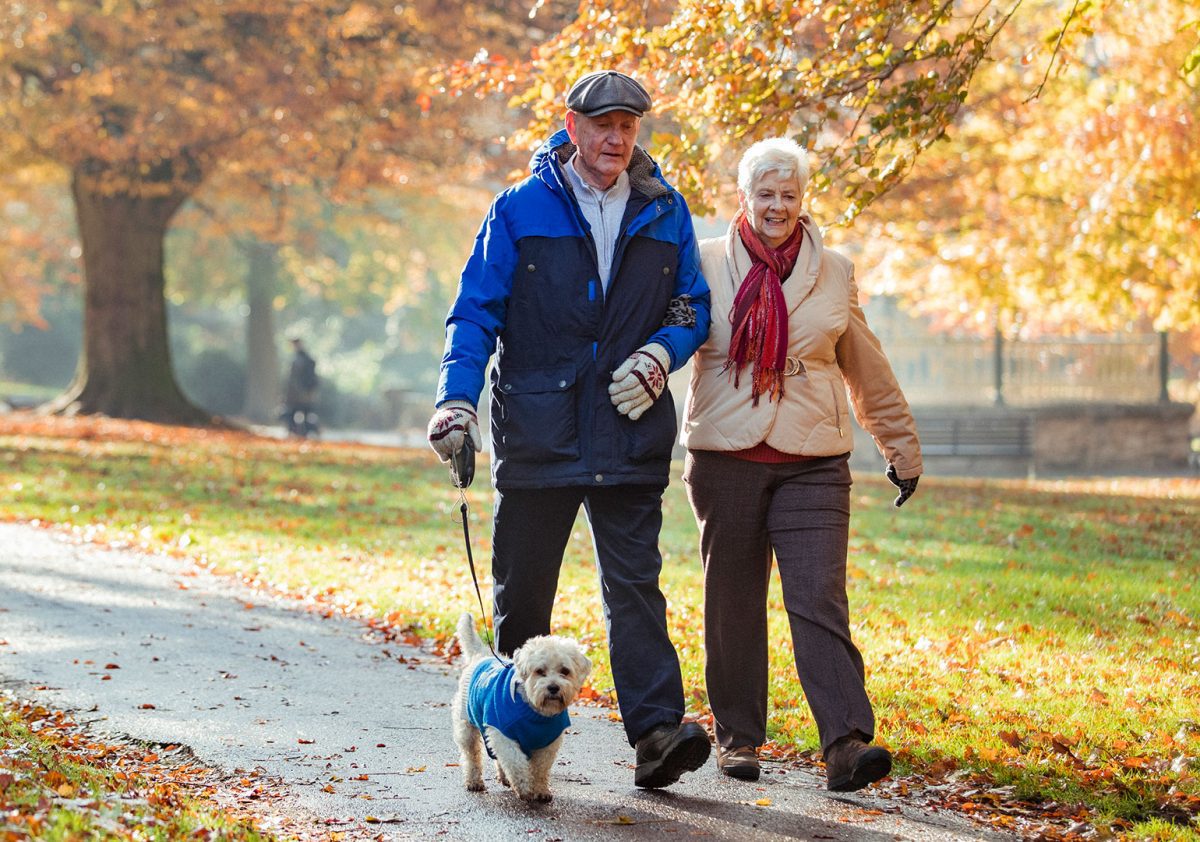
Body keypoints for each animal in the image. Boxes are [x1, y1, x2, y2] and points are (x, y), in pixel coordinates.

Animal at [451, 614, 592, 806]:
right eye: (539, 671)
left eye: (565, 671)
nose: (553, 687)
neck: (535, 712)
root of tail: (482, 655)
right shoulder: (503, 734)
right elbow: (515, 762)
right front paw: (524, 788)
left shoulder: (548, 742)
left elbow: (540, 768)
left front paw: (541, 790)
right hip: (467, 727)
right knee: (471, 755)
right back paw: (474, 781)